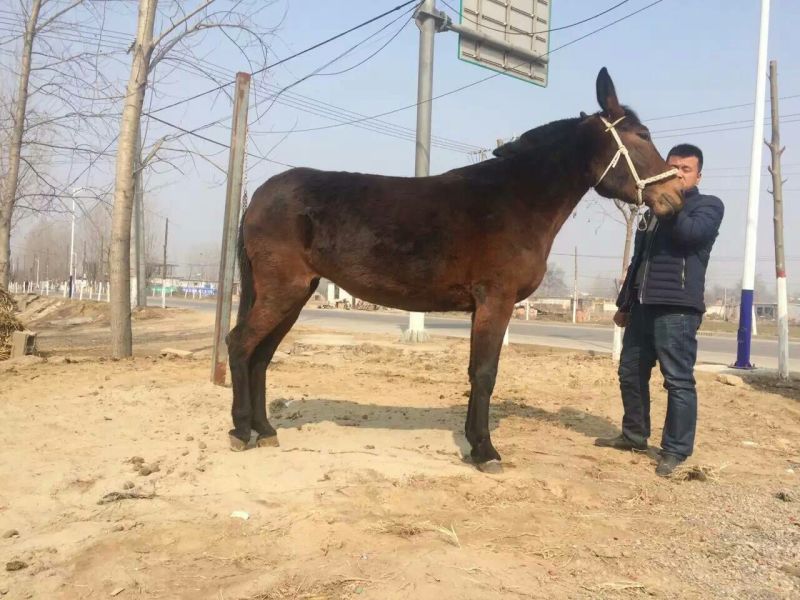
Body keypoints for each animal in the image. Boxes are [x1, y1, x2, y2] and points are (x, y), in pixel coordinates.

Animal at [226, 67, 684, 471]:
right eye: (642, 136)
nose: (675, 196)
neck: (517, 199)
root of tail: (259, 197)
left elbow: (476, 372)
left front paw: (473, 441)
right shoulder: (495, 301)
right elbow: (484, 373)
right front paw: (486, 451)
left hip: (296, 293)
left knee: (261, 355)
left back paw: (265, 430)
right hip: (282, 290)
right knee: (240, 344)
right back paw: (240, 431)